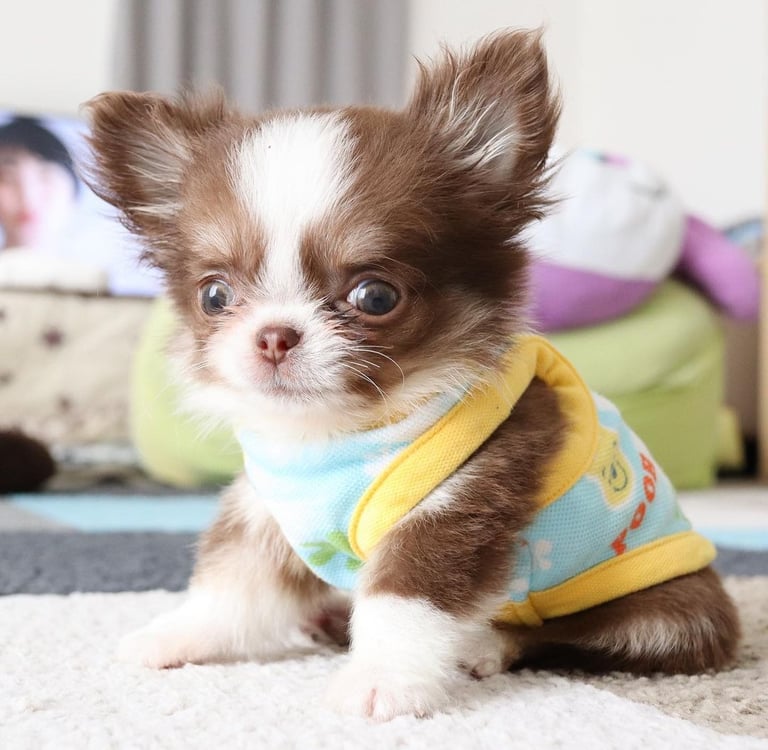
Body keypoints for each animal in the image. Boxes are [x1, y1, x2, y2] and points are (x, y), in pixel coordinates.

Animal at [84, 30, 740, 720]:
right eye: (214, 296)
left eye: (375, 296)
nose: (274, 335)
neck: (334, 436)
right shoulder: (264, 513)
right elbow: (233, 582)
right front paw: (178, 634)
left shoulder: (454, 509)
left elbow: (405, 602)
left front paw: (383, 681)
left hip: (671, 616)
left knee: (560, 634)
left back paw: (481, 646)